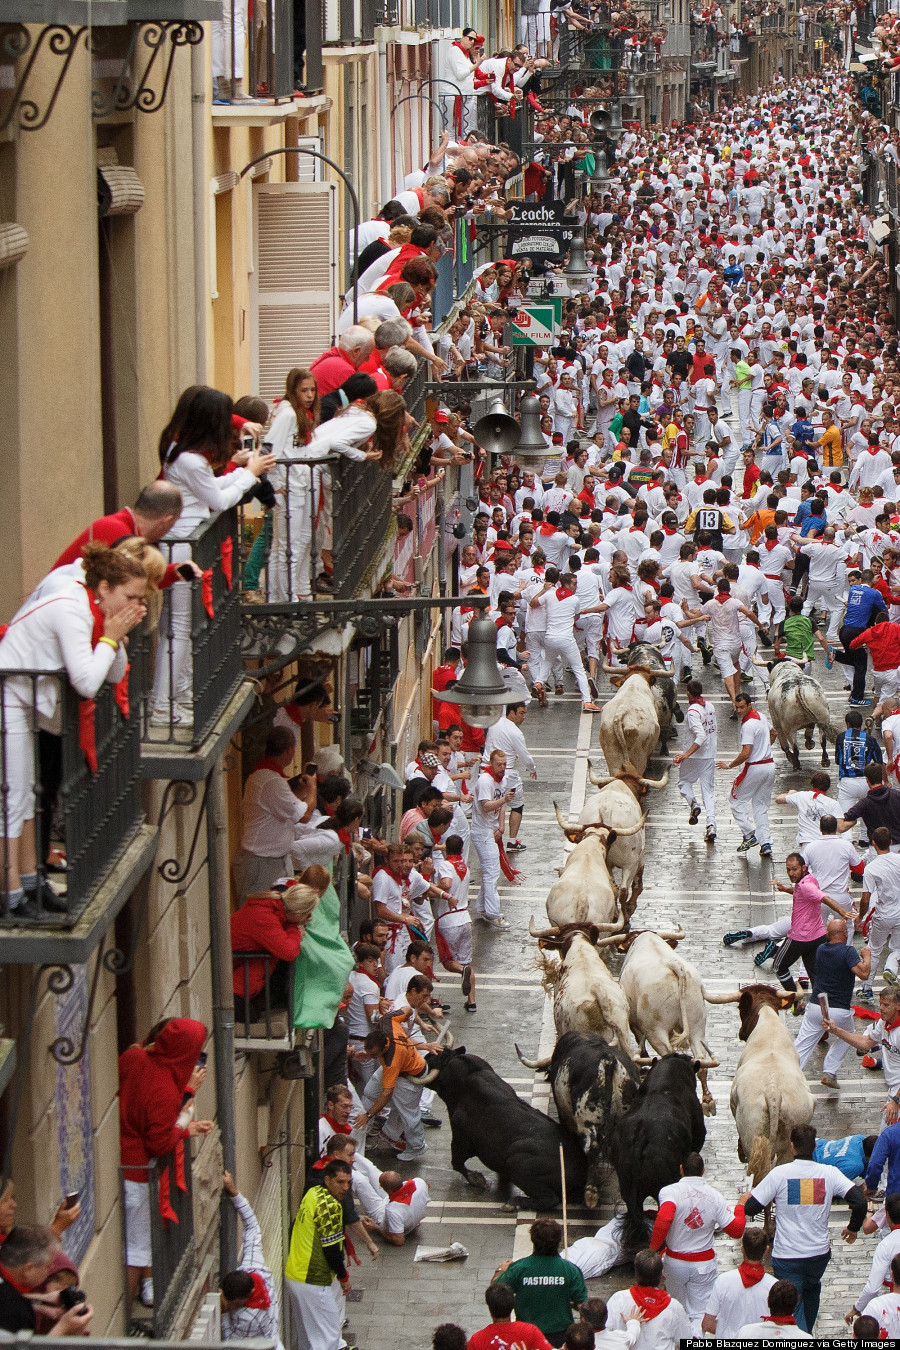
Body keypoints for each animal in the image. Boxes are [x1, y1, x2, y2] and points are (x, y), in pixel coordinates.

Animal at [612, 934, 739, 1112]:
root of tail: (673, 966)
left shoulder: (635, 1024)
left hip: (656, 1030)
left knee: (668, 1053)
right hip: (697, 1025)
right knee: (701, 1059)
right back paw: (707, 1102)